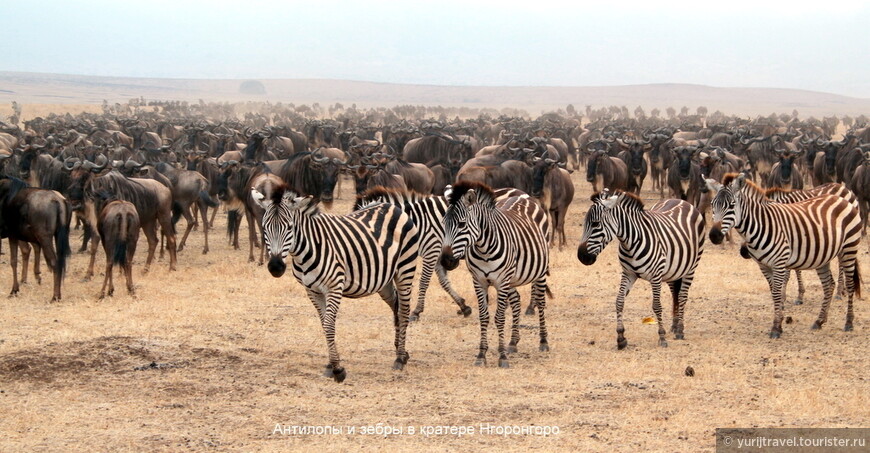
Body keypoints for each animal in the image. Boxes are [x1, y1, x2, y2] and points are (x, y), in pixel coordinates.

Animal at [250, 184, 420, 382]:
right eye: (264, 227)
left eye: (290, 228)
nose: (275, 267)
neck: (306, 250)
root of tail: (391, 206)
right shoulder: (312, 290)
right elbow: (324, 325)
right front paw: (331, 365)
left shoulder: (334, 287)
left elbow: (330, 325)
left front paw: (338, 369)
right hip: (383, 279)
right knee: (396, 306)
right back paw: (401, 350)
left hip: (405, 269)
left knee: (404, 310)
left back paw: (399, 358)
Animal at [356, 185, 532, 322]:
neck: (418, 223)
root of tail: (523, 193)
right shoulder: (439, 255)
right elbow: (444, 282)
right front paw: (463, 306)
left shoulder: (432, 250)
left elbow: (424, 282)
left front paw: (416, 311)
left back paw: (529, 308)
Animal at [442, 180, 552, 368]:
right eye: (443, 223)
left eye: (462, 225)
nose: (445, 261)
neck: (483, 248)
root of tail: (524, 197)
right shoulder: (479, 281)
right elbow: (484, 317)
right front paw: (481, 355)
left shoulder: (501, 281)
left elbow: (499, 318)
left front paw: (502, 357)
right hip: (512, 279)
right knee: (516, 301)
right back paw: (513, 342)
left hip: (539, 271)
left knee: (541, 301)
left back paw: (543, 341)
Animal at [580, 189, 708, 348]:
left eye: (596, 224)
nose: (581, 256)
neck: (630, 242)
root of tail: (681, 200)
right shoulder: (628, 273)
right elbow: (619, 301)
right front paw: (621, 337)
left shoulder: (656, 275)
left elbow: (657, 305)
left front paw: (662, 337)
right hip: (672, 270)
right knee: (675, 294)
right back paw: (674, 325)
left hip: (691, 267)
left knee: (683, 296)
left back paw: (680, 330)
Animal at [708, 172, 864, 336]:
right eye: (712, 205)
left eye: (732, 205)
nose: (714, 236)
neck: (763, 224)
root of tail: (841, 195)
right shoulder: (764, 265)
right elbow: (773, 291)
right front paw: (781, 318)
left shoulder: (781, 259)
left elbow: (779, 288)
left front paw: (776, 327)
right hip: (824, 254)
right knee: (828, 284)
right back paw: (819, 321)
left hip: (849, 247)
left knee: (849, 282)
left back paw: (848, 321)